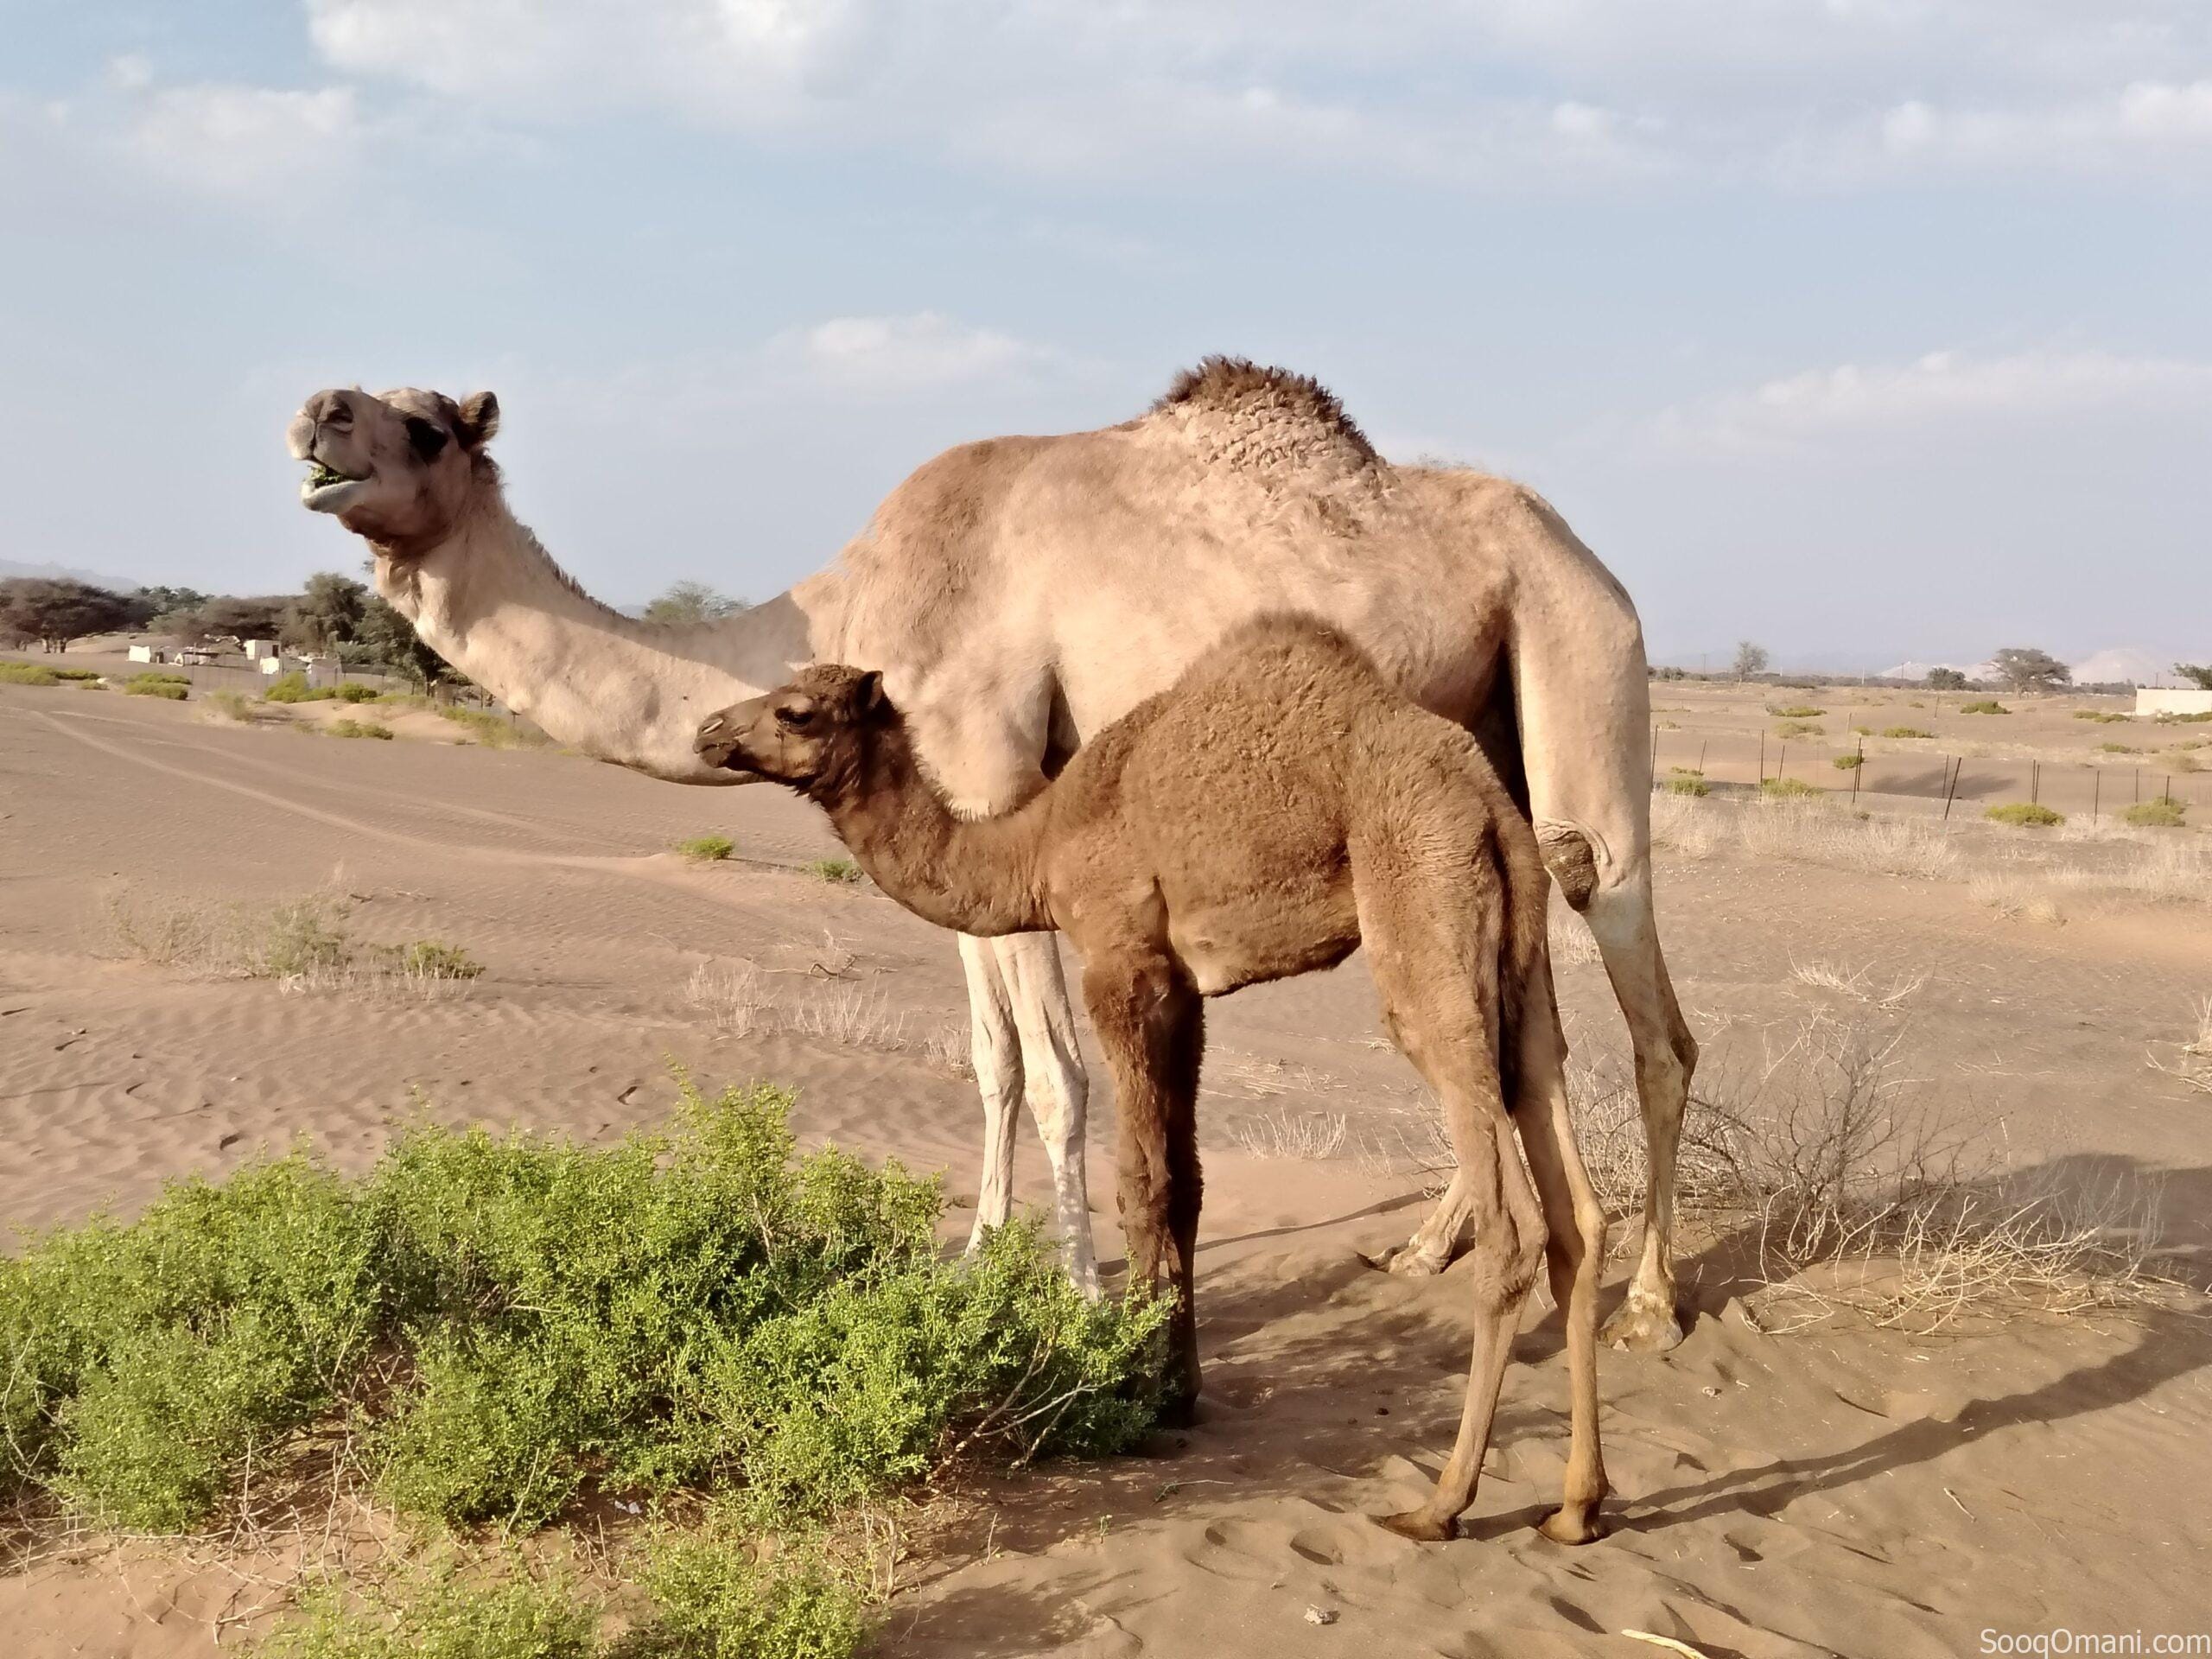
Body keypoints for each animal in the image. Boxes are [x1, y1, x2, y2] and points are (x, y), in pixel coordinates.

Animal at [285, 361, 1696, 1350]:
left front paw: (1080, 1291)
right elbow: (993, 1060)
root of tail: (1593, 562)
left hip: (1583, 667)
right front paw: (975, 1259)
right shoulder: (952, 817)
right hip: (1475, 739)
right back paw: (1424, 1250)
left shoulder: (992, 764)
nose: (312, 418)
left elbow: (1064, 1071)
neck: (857, 596)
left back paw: (1644, 1302)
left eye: (425, 426)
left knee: (1649, 1010)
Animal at [692, 617, 1608, 1544]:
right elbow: (1187, 1181)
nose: (710, 732)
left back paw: (1441, 1503)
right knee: (1574, 1204)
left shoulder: (1120, 961)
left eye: (796, 710)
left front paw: (1128, 1387)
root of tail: (1490, 807)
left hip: (1421, 901)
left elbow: (1140, 1180)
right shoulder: (1184, 989)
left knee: (1510, 1218)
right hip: (1523, 961)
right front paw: (1177, 1388)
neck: (1038, 844)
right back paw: (1577, 1506)